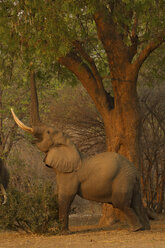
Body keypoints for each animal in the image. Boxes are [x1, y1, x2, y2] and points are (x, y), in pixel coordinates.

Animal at [10, 109, 150, 232]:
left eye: (48, 132)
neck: (69, 144)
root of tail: (135, 172)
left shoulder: (70, 175)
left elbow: (65, 197)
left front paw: (62, 232)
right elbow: (59, 195)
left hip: (122, 180)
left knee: (121, 203)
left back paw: (135, 229)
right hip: (132, 181)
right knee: (136, 203)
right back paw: (145, 228)